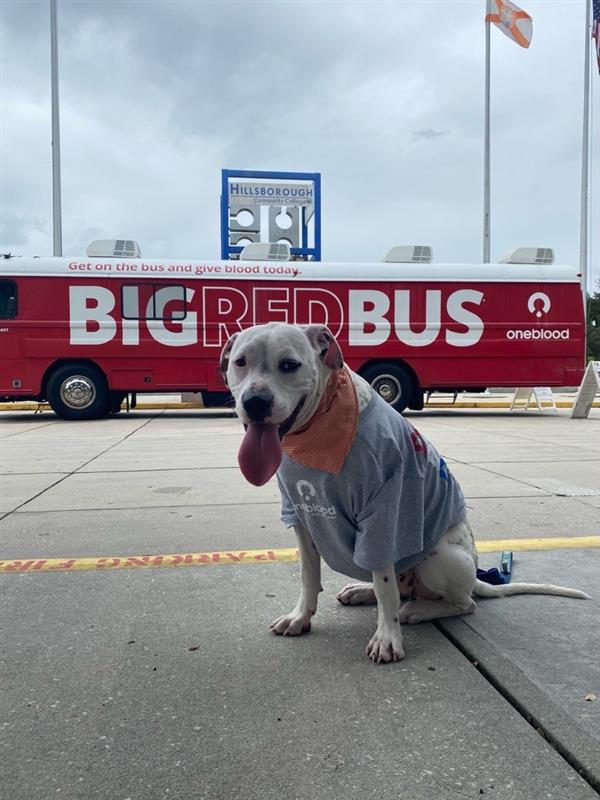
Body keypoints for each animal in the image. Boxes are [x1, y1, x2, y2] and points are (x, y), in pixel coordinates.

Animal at [221, 322, 592, 664]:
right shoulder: (300, 515)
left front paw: (388, 638)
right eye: (240, 362)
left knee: (459, 603)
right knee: (390, 584)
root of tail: (476, 576)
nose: (254, 402)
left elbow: (386, 586)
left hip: (441, 557)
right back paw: (363, 591)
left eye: (289, 364)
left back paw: (418, 610)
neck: (318, 432)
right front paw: (300, 617)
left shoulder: (384, 513)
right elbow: (309, 575)